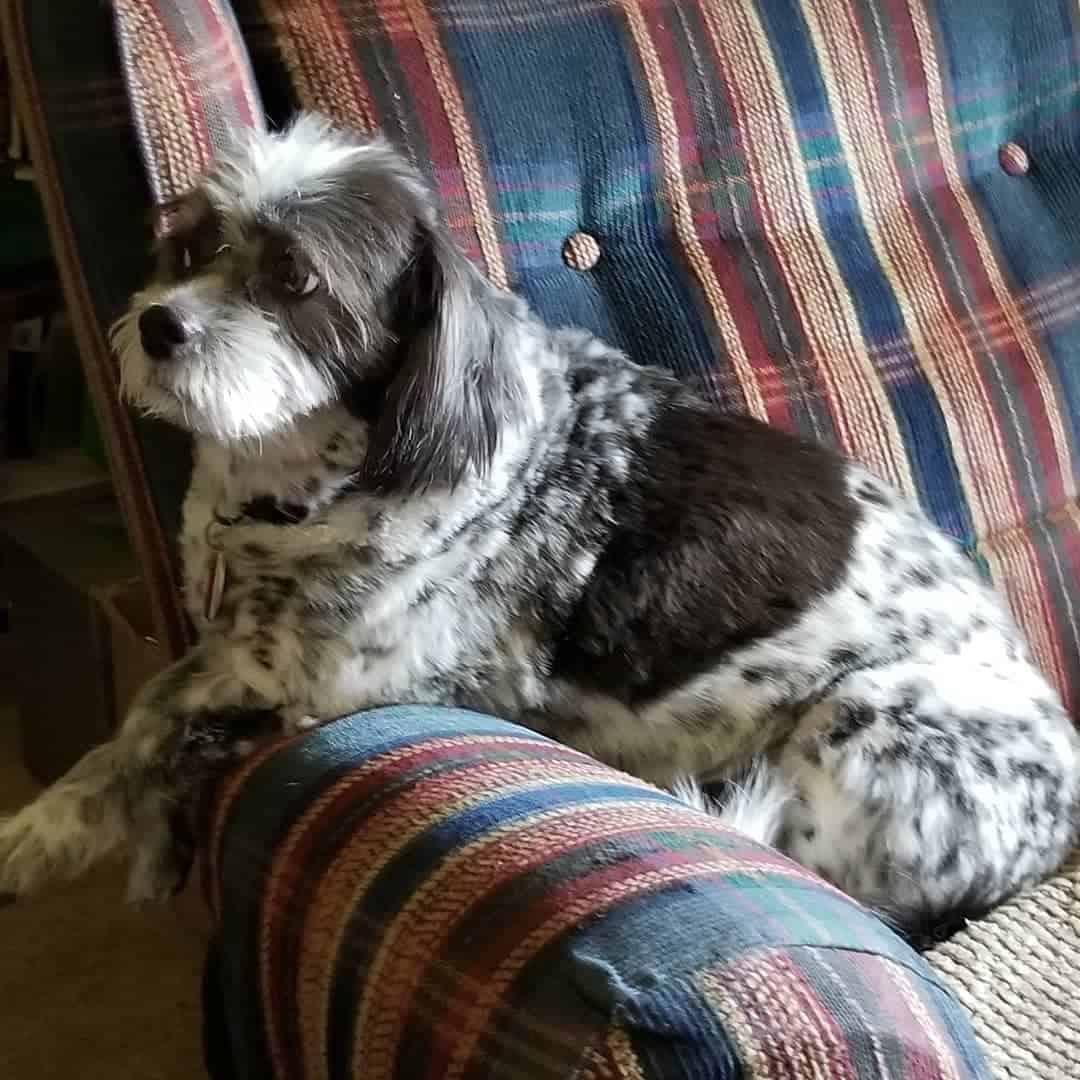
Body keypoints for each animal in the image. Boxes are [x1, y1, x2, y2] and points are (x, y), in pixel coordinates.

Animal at [2, 116, 1080, 946]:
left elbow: (190, 741)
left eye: (296, 279)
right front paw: (51, 830)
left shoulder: (353, 692)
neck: (301, 494)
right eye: (188, 249)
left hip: (861, 726)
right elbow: (141, 717)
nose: (161, 324)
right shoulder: (238, 650)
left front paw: (142, 838)